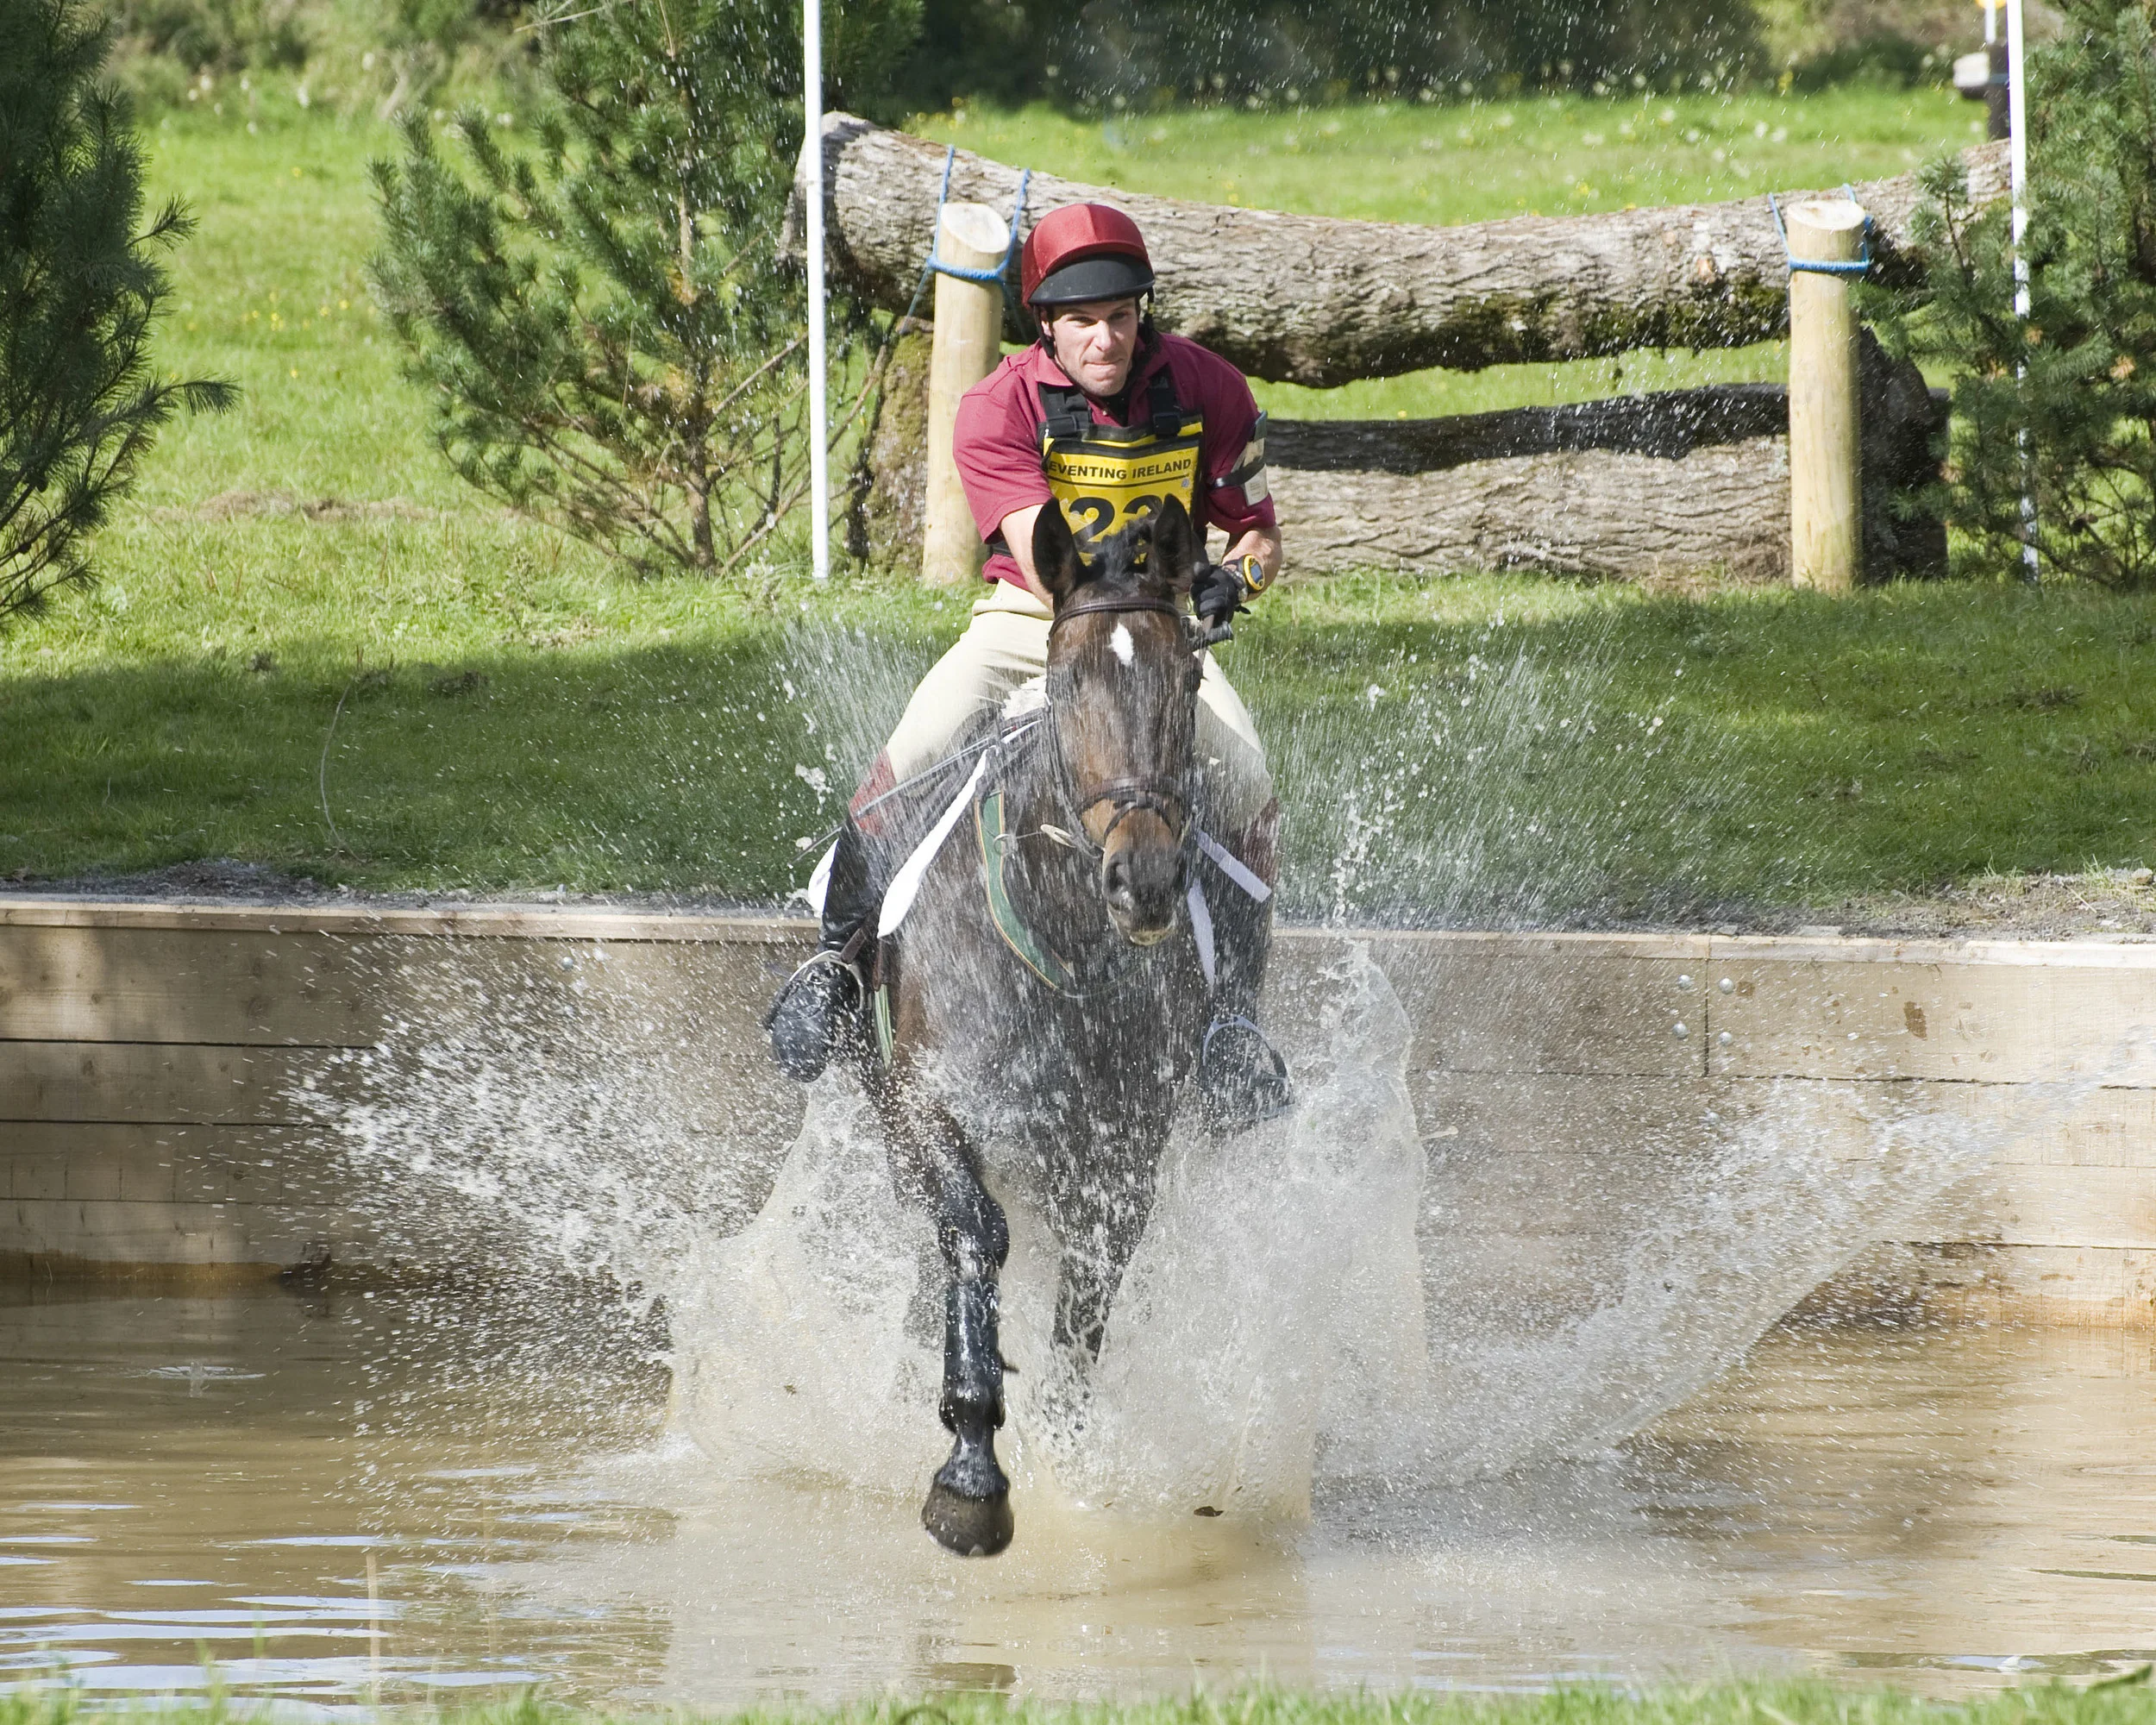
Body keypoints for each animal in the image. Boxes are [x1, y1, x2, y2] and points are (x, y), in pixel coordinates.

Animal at [855, 495, 1231, 1557]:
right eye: (1066, 683)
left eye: (1189, 675)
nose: (1145, 879)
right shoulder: (930, 1103)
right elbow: (973, 1235)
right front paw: (969, 1473)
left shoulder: (1121, 1145)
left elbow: (1090, 1289)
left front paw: (1062, 1449)